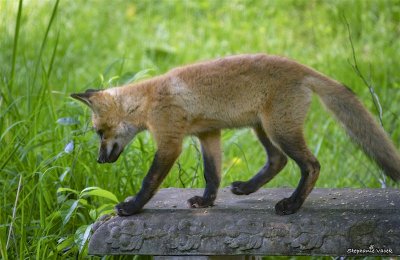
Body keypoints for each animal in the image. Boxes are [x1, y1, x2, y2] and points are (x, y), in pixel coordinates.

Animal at [72, 53, 400, 216]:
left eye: (99, 132)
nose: (99, 161)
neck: (149, 99)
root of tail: (303, 68)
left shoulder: (170, 141)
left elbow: (149, 180)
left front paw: (132, 207)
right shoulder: (208, 134)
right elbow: (211, 175)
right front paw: (206, 203)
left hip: (279, 130)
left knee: (311, 165)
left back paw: (292, 205)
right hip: (262, 128)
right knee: (278, 161)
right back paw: (248, 188)